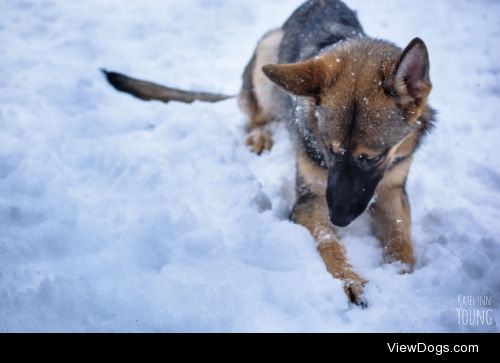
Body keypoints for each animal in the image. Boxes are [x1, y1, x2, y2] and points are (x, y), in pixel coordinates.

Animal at [104, 0, 434, 308]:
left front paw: (401, 276)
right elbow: (329, 242)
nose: (339, 219)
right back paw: (259, 136)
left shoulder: (392, 189)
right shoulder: (309, 202)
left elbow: (401, 238)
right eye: (329, 149)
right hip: (267, 53)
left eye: (371, 158)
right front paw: (349, 279)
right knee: (255, 116)